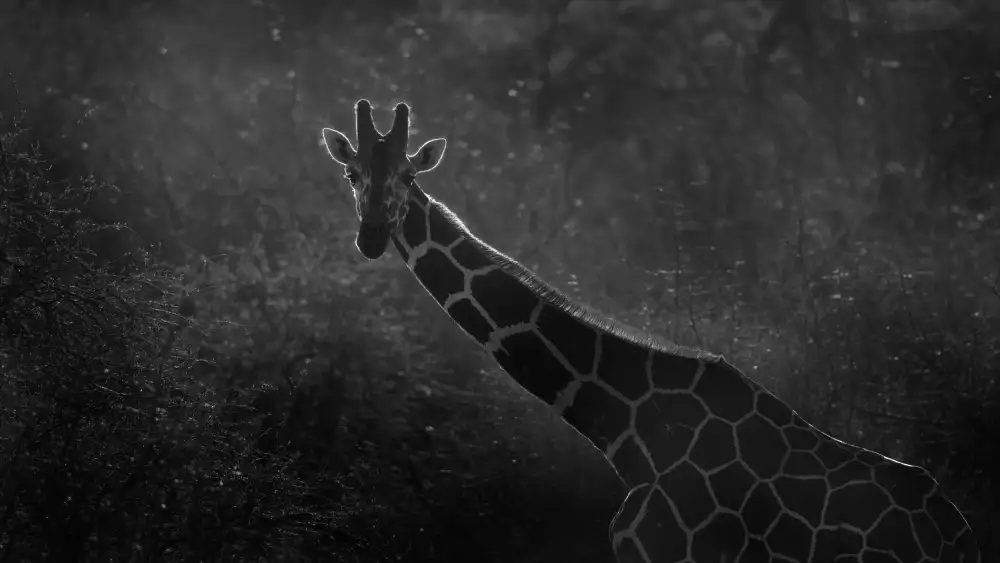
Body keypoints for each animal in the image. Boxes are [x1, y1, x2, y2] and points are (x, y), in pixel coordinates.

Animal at [320, 99, 981, 563]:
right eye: (351, 173)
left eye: (408, 175)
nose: (372, 236)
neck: (625, 427)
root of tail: (957, 537)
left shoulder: (667, 551)